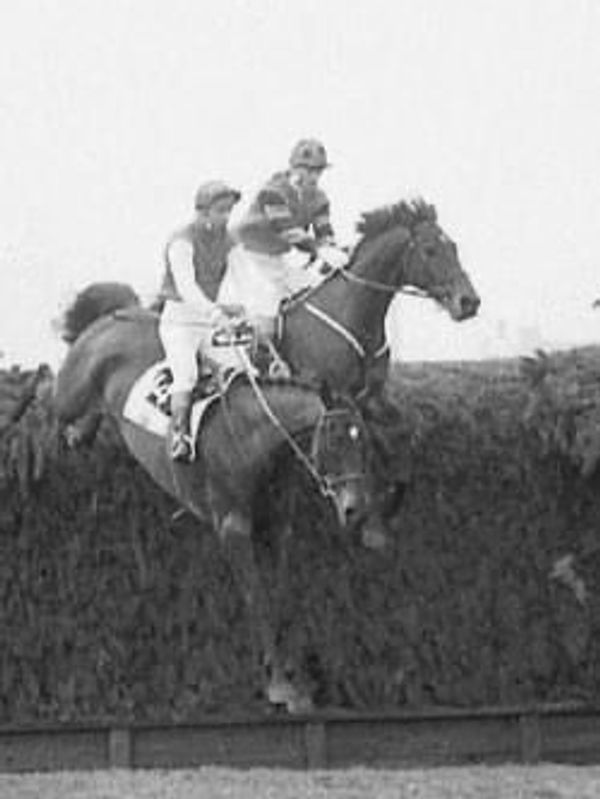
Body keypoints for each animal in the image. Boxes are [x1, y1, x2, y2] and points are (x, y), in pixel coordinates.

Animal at [54, 282, 378, 712]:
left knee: (84, 422)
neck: (253, 436)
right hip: (68, 393)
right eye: (336, 440)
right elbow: (257, 598)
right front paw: (281, 683)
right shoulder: (232, 526)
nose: (356, 508)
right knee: (53, 401)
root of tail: (113, 315)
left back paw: (83, 432)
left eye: (364, 443)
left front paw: (299, 676)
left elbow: (280, 593)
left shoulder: (273, 525)